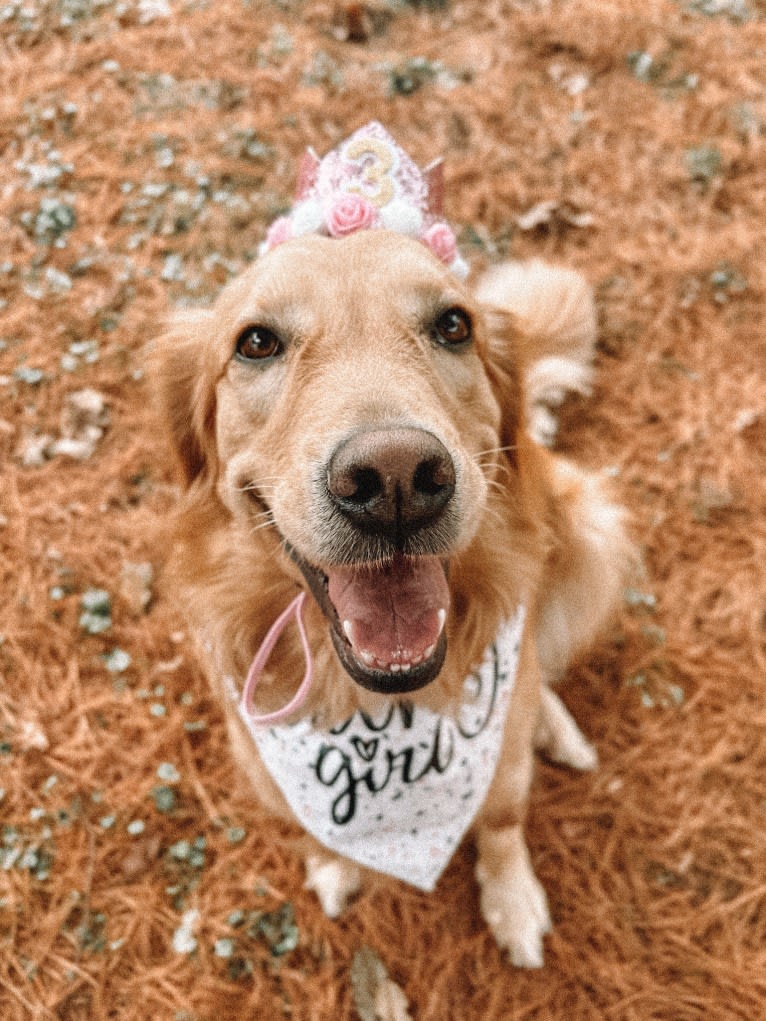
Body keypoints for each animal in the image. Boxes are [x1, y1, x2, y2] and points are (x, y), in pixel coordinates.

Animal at [153, 123, 633, 967]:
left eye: (453, 326)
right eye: (256, 342)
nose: (397, 477)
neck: (382, 706)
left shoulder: (498, 759)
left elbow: (502, 816)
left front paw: (512, 897)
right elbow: (319, 836)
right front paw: (334, 866)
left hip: (587, 530)